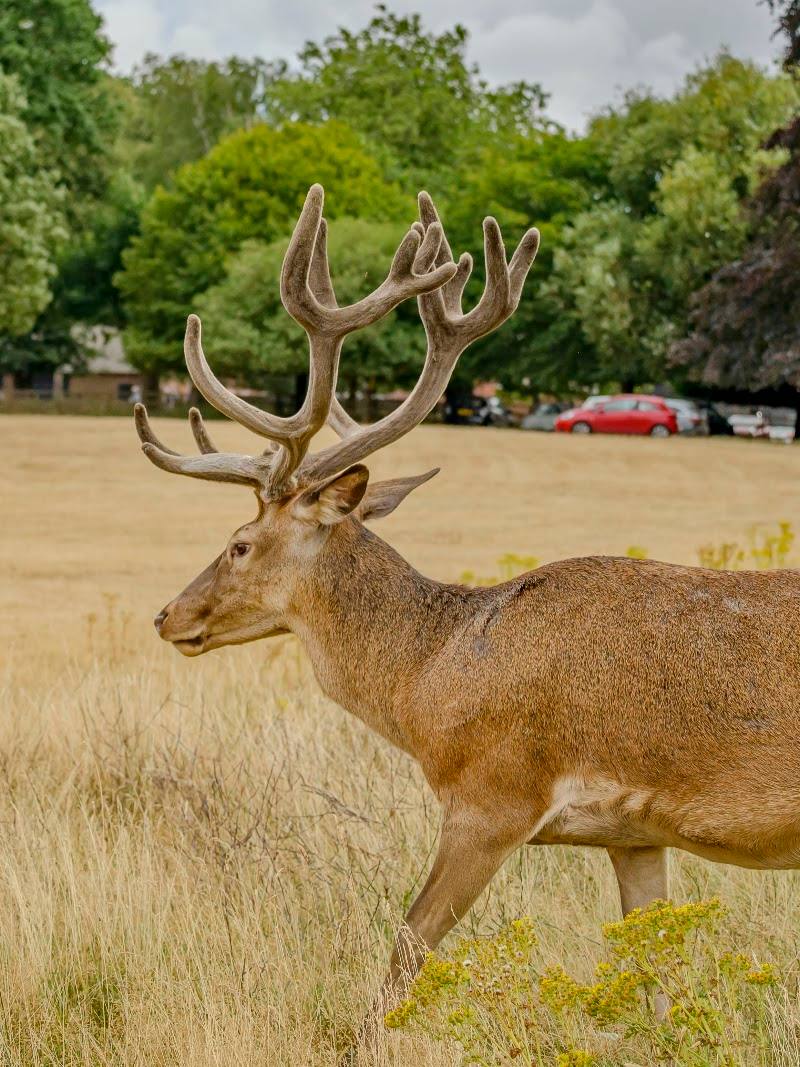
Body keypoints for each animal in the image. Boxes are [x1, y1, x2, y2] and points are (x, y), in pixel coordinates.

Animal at [135, 184, 800, 1036]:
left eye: (240, 543)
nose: (167, 615)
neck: (431, 679)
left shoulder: (494, 793)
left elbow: (404, 952)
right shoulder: (634, 834)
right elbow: (654, 980)